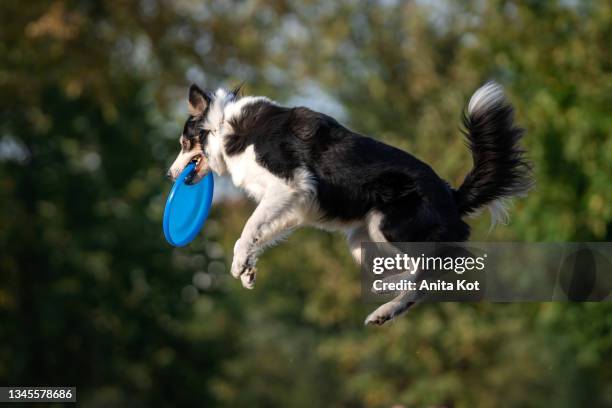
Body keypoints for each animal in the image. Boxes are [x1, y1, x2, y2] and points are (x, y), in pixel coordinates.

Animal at [166, 82, 532, 326]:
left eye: (184, 143)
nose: (170, 175)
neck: (222, 126)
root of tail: (452, 195)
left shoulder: (290, 183)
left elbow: (248, 228)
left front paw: (240, 263)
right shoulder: (294, 205)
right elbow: (260, 233)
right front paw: (247, 270)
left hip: (391, 226)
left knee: (435, 267)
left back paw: (387, 296)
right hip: (361, 239)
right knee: (421, 276)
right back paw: (385, 301)